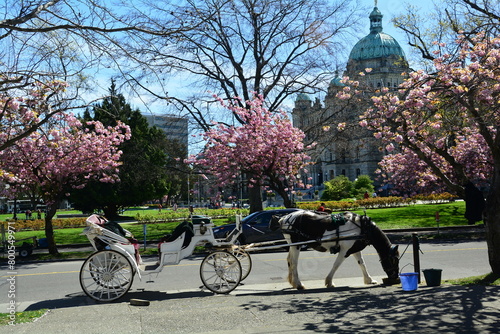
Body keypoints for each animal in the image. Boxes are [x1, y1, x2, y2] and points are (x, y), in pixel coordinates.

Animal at [270, 209, 398, 290]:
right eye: (394, 260)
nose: (395, 277)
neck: (364, 227)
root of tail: (285, 217)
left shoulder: (354, 249)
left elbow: (362, 263)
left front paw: (369, 280)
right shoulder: (345, 250)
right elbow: (336, 265)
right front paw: (329, 282)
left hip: (292, 245)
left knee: (289, 260)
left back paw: (293, 283)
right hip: (296, 245)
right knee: (293, 262)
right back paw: (298, 284)